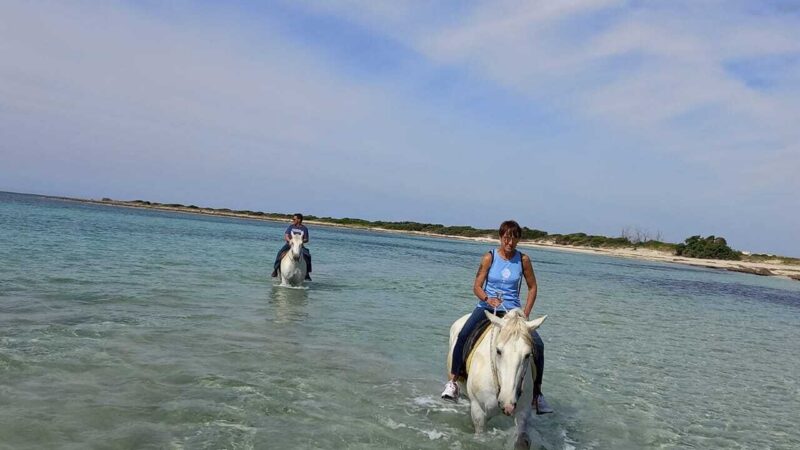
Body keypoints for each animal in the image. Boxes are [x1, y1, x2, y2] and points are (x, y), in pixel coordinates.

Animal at [446, 310, 548, 446]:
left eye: (527, 355)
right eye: (498, 351)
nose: (507, 403)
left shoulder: (523, 412)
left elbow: (521, 440)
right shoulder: (478, 412)